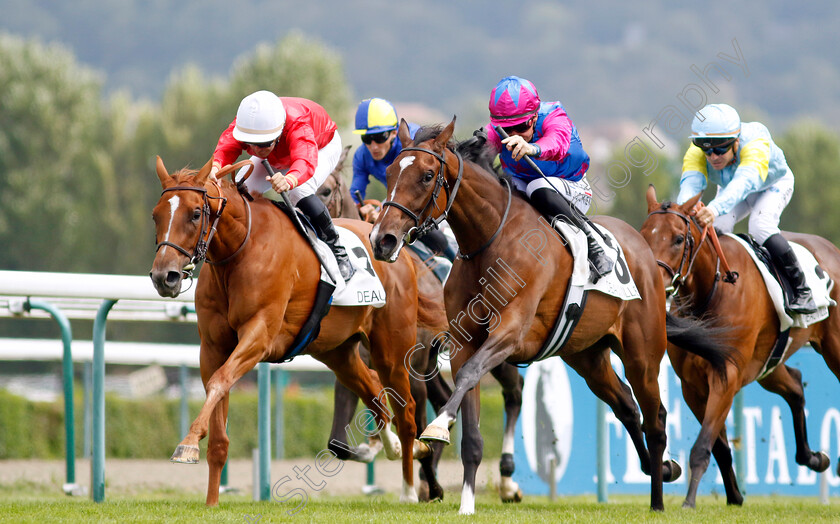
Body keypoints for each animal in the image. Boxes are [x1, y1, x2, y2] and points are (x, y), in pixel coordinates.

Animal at [148, 155, 442, 504]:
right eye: (156, 215)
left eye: (195, 213)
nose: (164, 276)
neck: (241, 249)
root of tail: (399, 252)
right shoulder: (212, 347)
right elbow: (217, 407)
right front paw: (211, 501)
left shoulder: (260, 335)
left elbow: (220, 381)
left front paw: (188, 443)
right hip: (338, 352)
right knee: (373, 391)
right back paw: (396, 448)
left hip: (392, 350)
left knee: (406, 411)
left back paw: (410, 489)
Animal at [318, 162, 528, 502]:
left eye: (326, 190)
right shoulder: (355, 363)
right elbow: (338, 443)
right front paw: (377, 446)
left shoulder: (410, 370)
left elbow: (413, 422)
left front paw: (427, 477)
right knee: (445, 397)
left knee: (514, 392)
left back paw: (507, 481)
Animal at [370, 117, 732, 512]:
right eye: (389, 171)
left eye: (426, 175)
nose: (382, 239)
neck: (490, 240)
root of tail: (646, 253)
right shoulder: (466, 342)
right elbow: (471, 430)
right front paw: (466, 503)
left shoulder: (511, 333)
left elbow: (467, 376)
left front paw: (438, 426)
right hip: (587, 356)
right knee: (625, 405)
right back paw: (661, 469)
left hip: (643, 354)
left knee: (656, 419)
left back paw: (657, 500)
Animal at [640, 184, 836, 508]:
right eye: (644, 235)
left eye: (679, 238)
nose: (652, 281)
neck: (712, 289)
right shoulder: (692, 384)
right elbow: (718, 445)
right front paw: (734, 496)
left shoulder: (726, 374)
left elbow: (703, 444)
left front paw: (689, 502)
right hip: (767, 364)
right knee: (795, 384)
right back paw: (812, 457)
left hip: (832, 348)